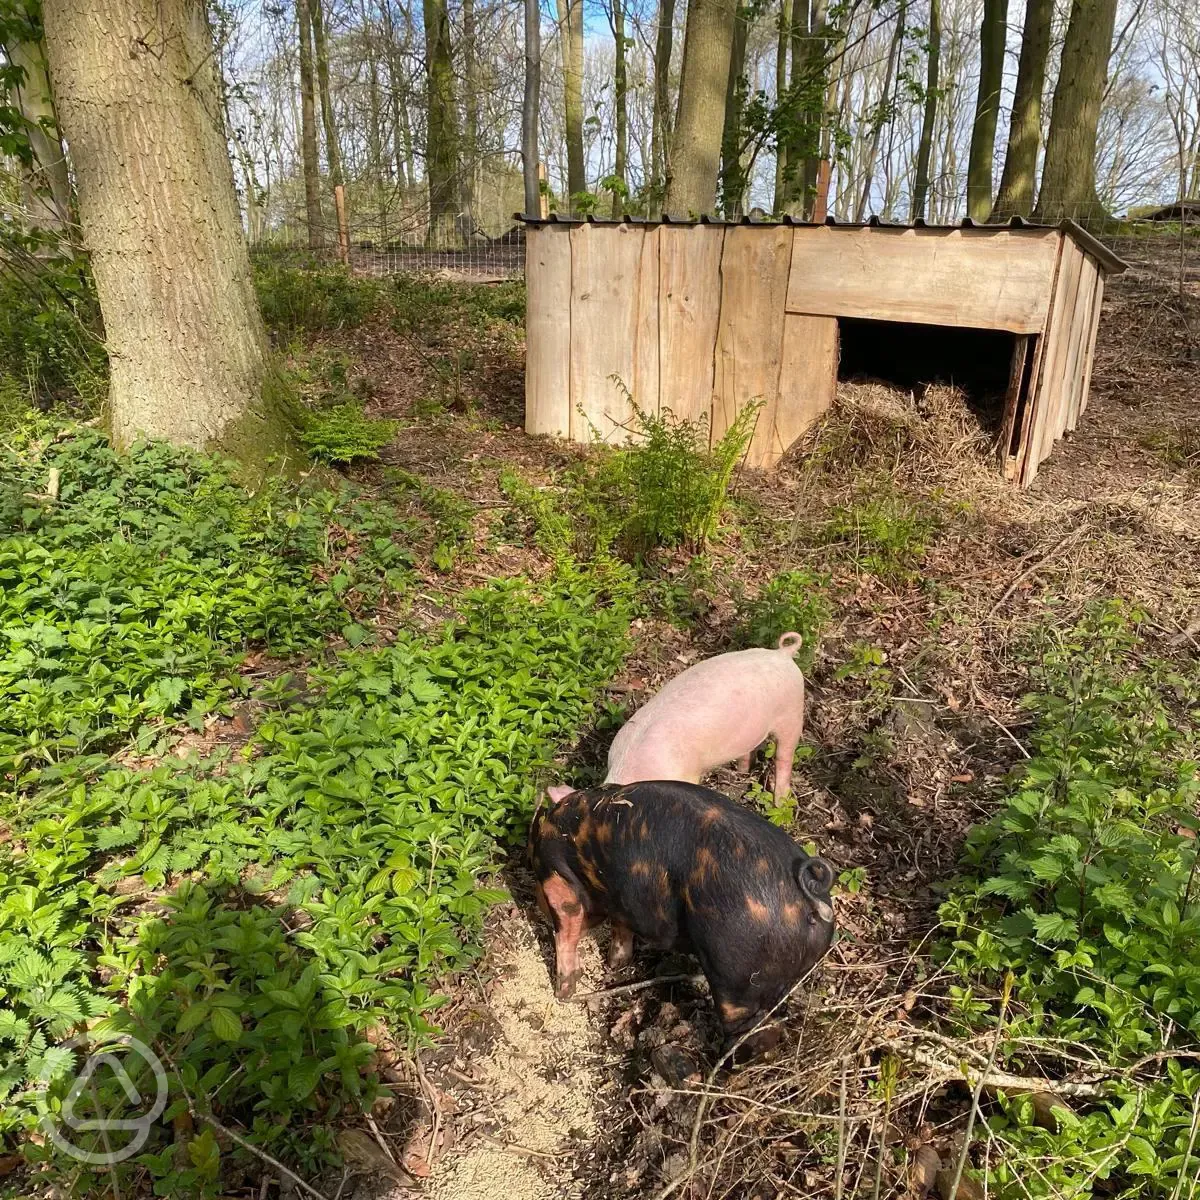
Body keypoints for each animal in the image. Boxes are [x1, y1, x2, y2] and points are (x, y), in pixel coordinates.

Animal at [609, 633, 806, 801]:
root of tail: (783, 654)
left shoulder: (688, 775)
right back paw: (742, 772)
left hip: (793, 713)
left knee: (784, 756)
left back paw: (780, 801)